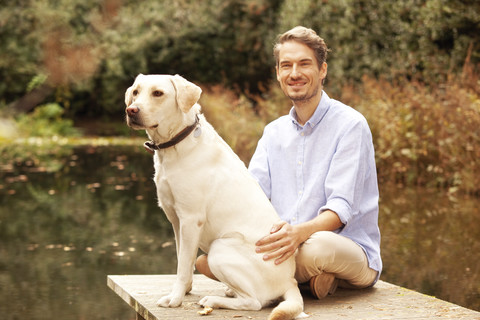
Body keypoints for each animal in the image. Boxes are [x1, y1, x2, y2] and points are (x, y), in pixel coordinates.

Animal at [124, 74, 304, 318]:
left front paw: (175, 299)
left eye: (158, 93)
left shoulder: (190, 219)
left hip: (221, 248)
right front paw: (184, 291)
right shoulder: (176, 220)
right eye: (135, 92)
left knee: (255, 303)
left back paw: (215, 299)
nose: (131, 110)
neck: (176, 144)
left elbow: (182, 266)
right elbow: (183, 259)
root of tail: (290, 281)